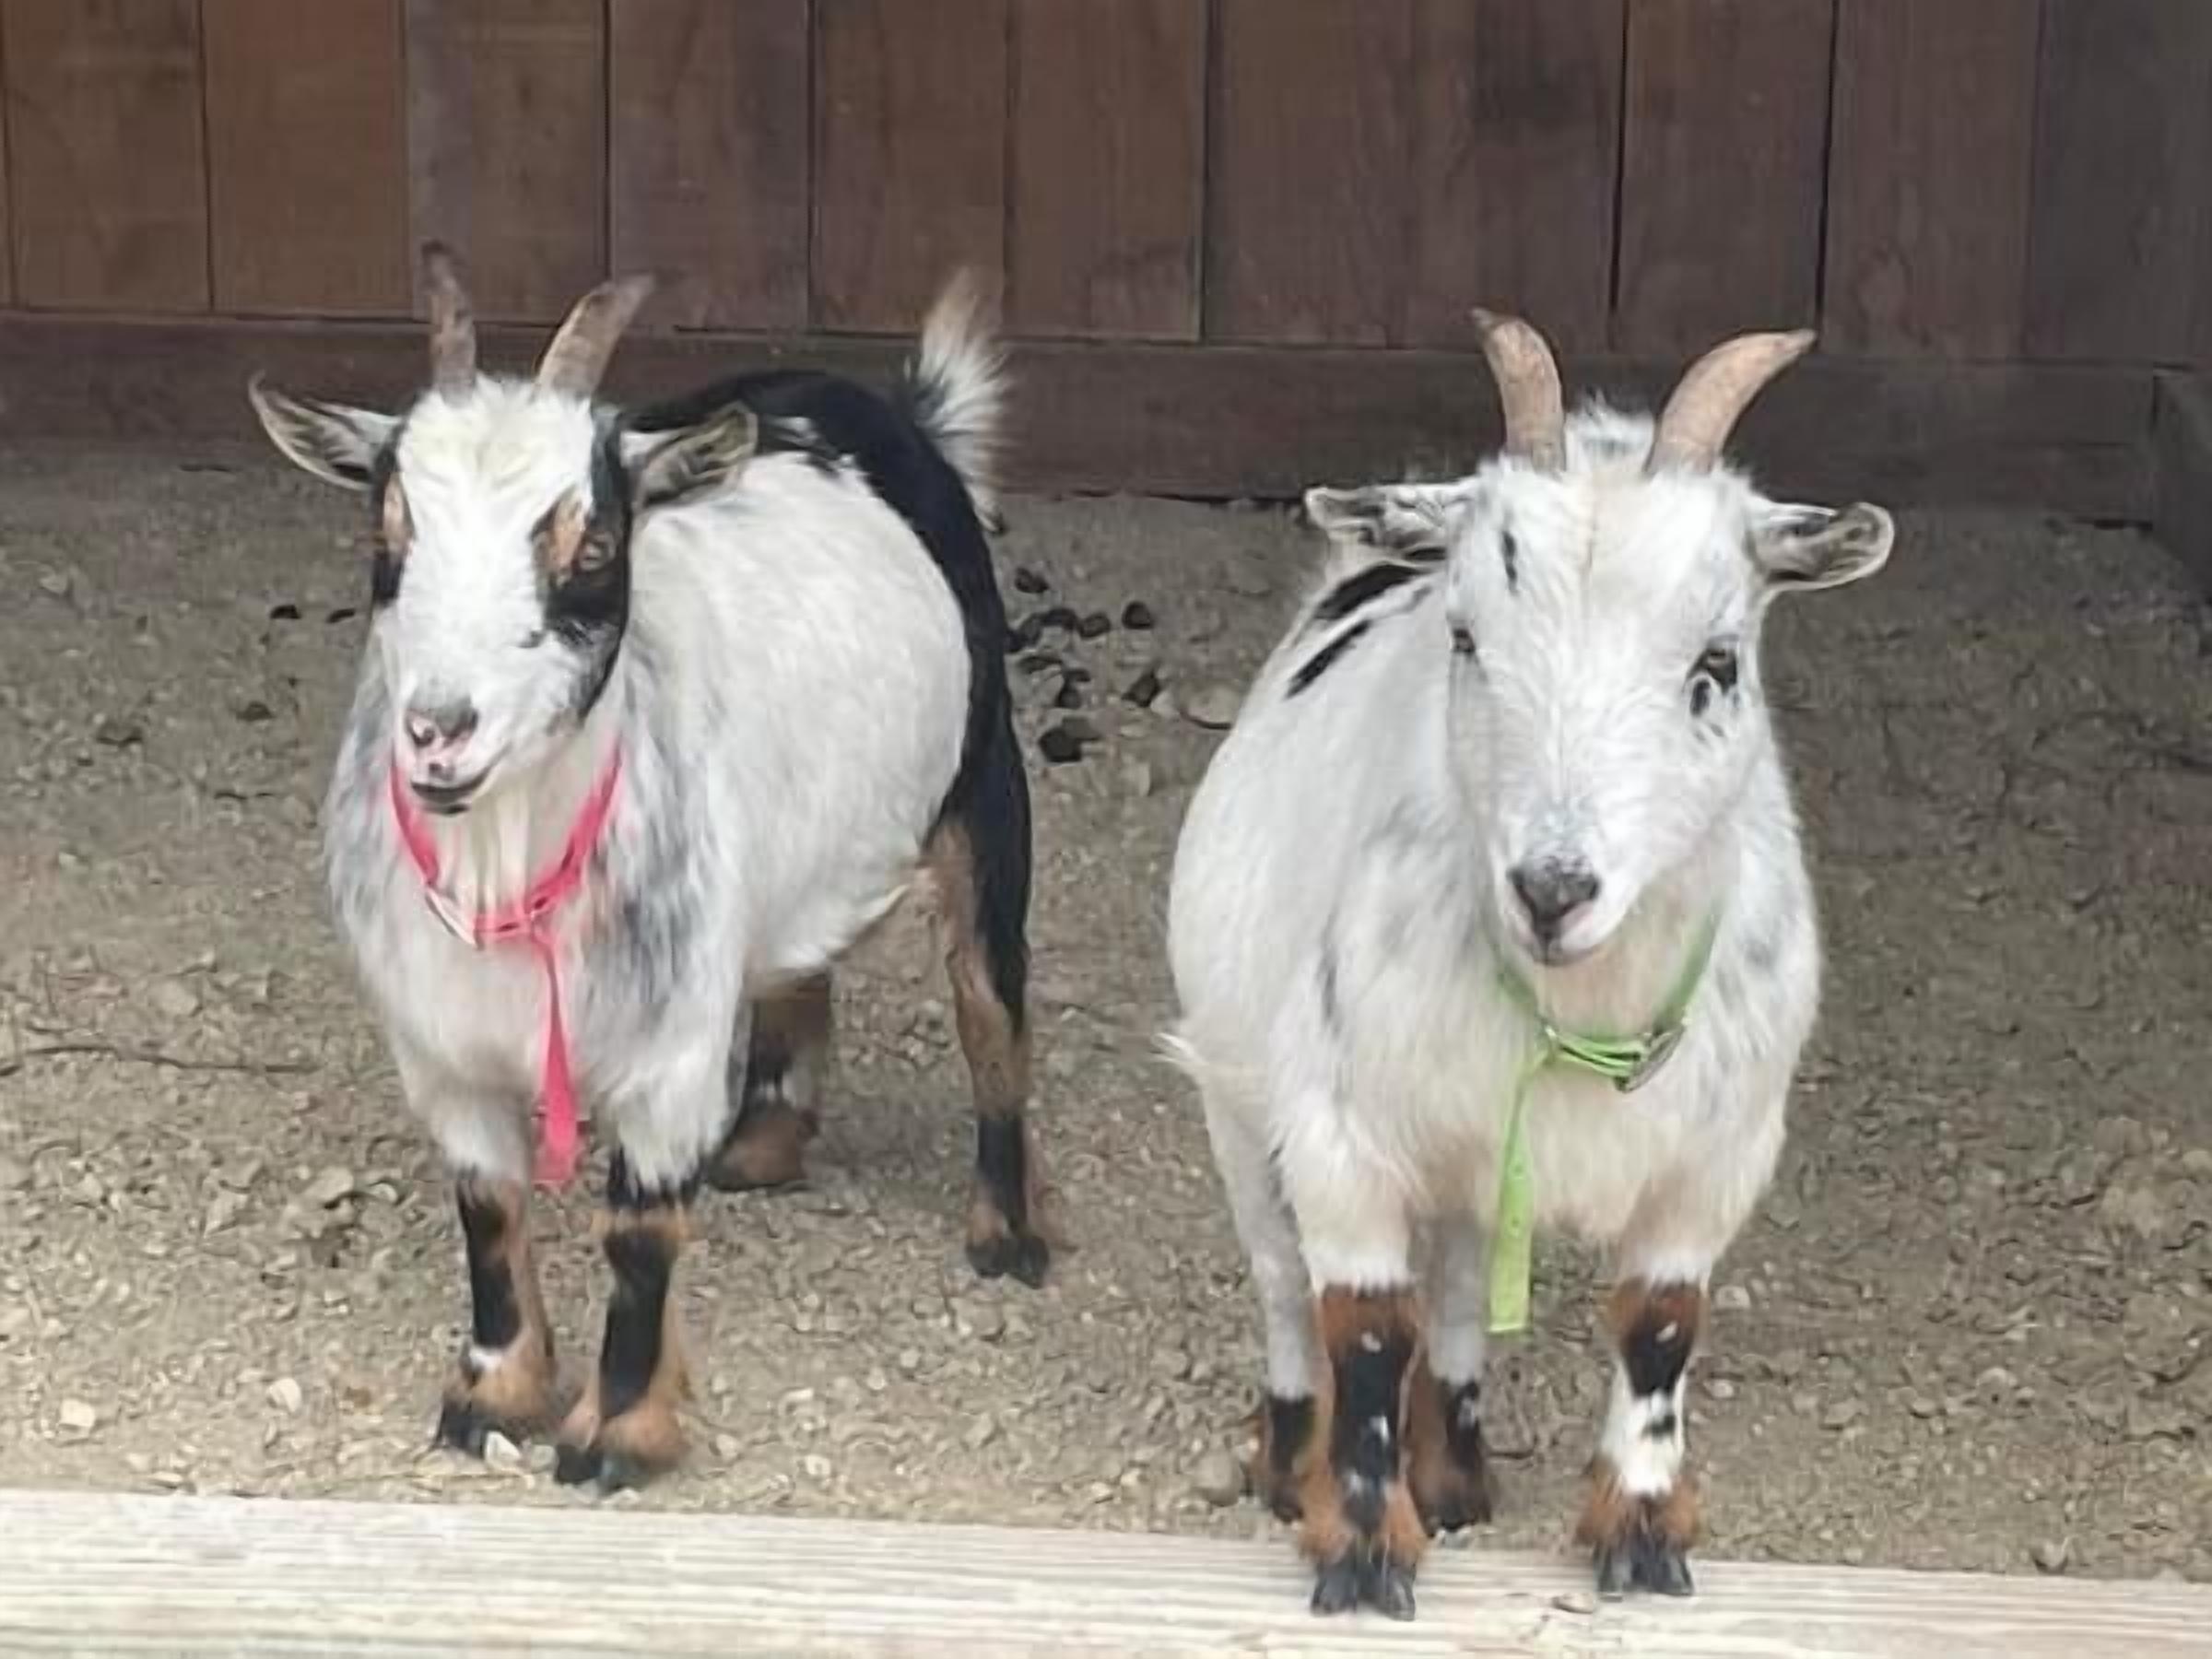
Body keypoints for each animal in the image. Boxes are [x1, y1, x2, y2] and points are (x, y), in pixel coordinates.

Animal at [247, 246, 1045, 1491]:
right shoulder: (442, 1051)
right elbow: (488, 1213)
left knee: (987, 1001)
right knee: (796, 964)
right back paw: (763, 1145)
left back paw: (1005, 1233)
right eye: (390, 533)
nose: (440, 730)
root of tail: (900, 412)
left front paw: (615, 1432)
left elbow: (638, 1233)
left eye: (591, 544)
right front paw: (492, 1395)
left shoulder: (669, 1051)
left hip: (985, 782)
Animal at [1166, 313, 1893, 1617]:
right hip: (1237, 1095)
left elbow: (1660, 1325)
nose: (1553, 889)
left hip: (1465, 1165)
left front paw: (1643, 1539)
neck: (1577, 1005)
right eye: (1466, 638)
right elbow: (1362, 1327)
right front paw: (1361, 1552)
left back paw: (1456, 1472)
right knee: (1283, 1286)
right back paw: (1289, 1462)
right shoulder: (1340, 1133)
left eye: (1717, 662)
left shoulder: (1717, 1156)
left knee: (1457, 1289)